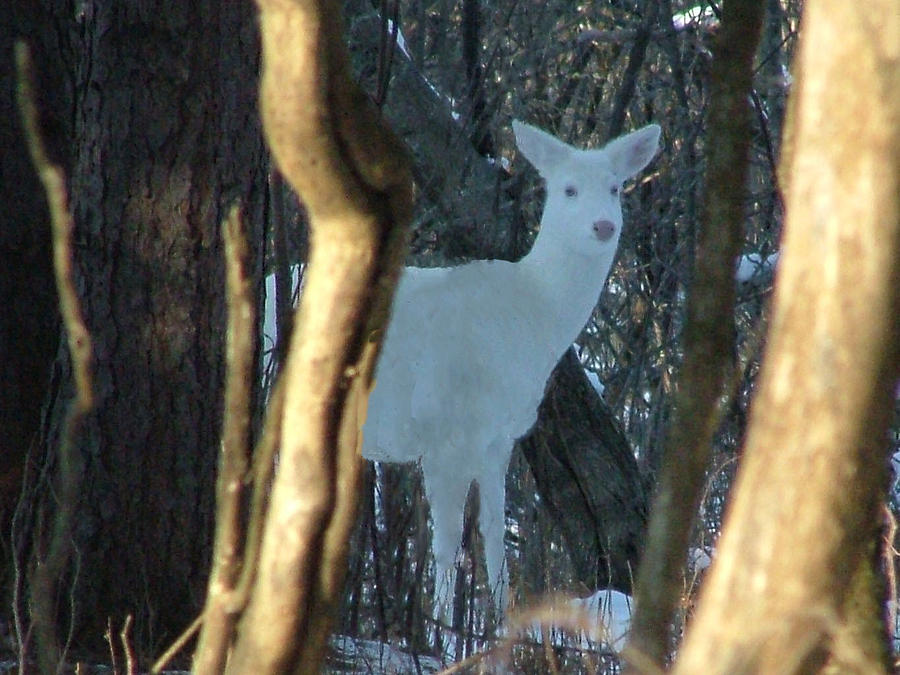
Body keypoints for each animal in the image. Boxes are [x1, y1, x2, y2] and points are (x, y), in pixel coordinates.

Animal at [360, 119, 660, 608]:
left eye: (615, 187)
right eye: (568, 189)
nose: (603, 225)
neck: (530, 317)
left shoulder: (498, 438)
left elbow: (494, 534)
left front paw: (502, 618)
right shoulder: (443, 428)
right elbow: (447, 545)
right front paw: (439, 623)